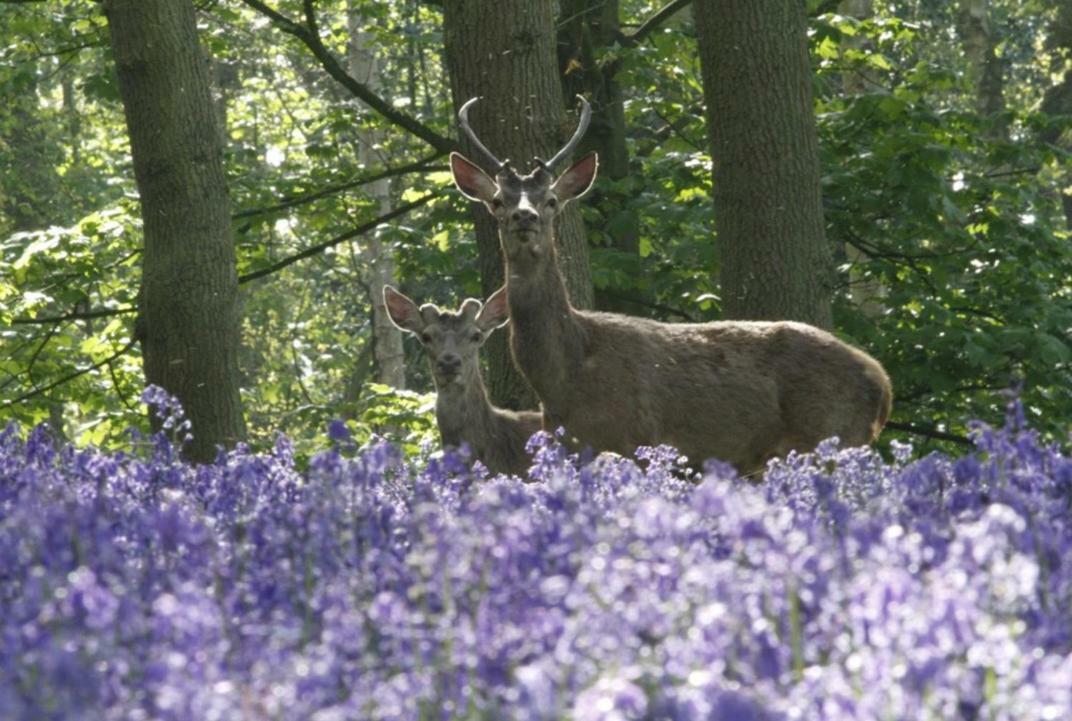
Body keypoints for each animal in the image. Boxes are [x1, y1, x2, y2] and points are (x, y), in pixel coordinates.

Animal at [448, 96, 891, 477]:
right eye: (499, 201)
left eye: (552, 200)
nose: (525, 217)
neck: (563, 380)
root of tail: (881, 383)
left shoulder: (635, 441)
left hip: (830, 436)